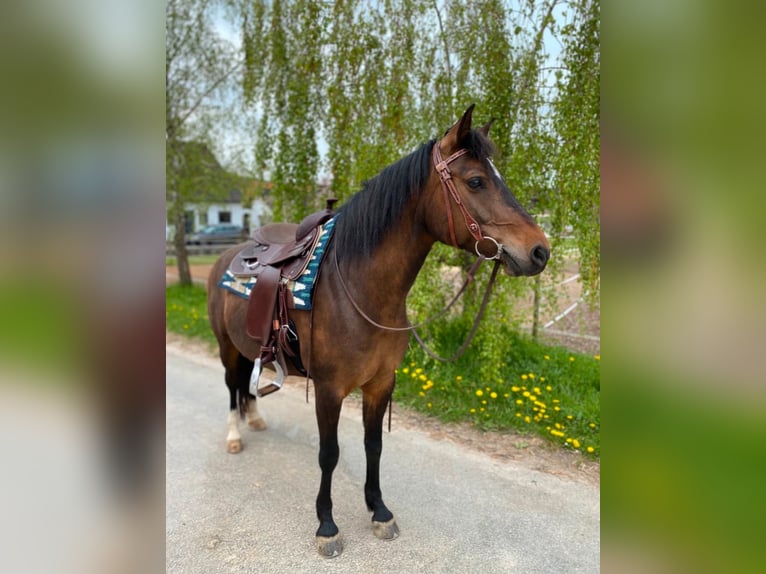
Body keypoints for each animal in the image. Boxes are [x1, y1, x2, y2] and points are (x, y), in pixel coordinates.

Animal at [206, 106, 552, 560]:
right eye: (476, 180)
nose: (540, 251)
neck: (359, 289)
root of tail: (230, 253)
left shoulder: (380, 383)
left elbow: (374, 446)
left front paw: (379, 510)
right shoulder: (330, 389)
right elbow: (330, 453)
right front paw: (327, 525)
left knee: (247, 384)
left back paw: (257, 419)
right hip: (227, 347)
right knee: (232, 386)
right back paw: (233, 435)